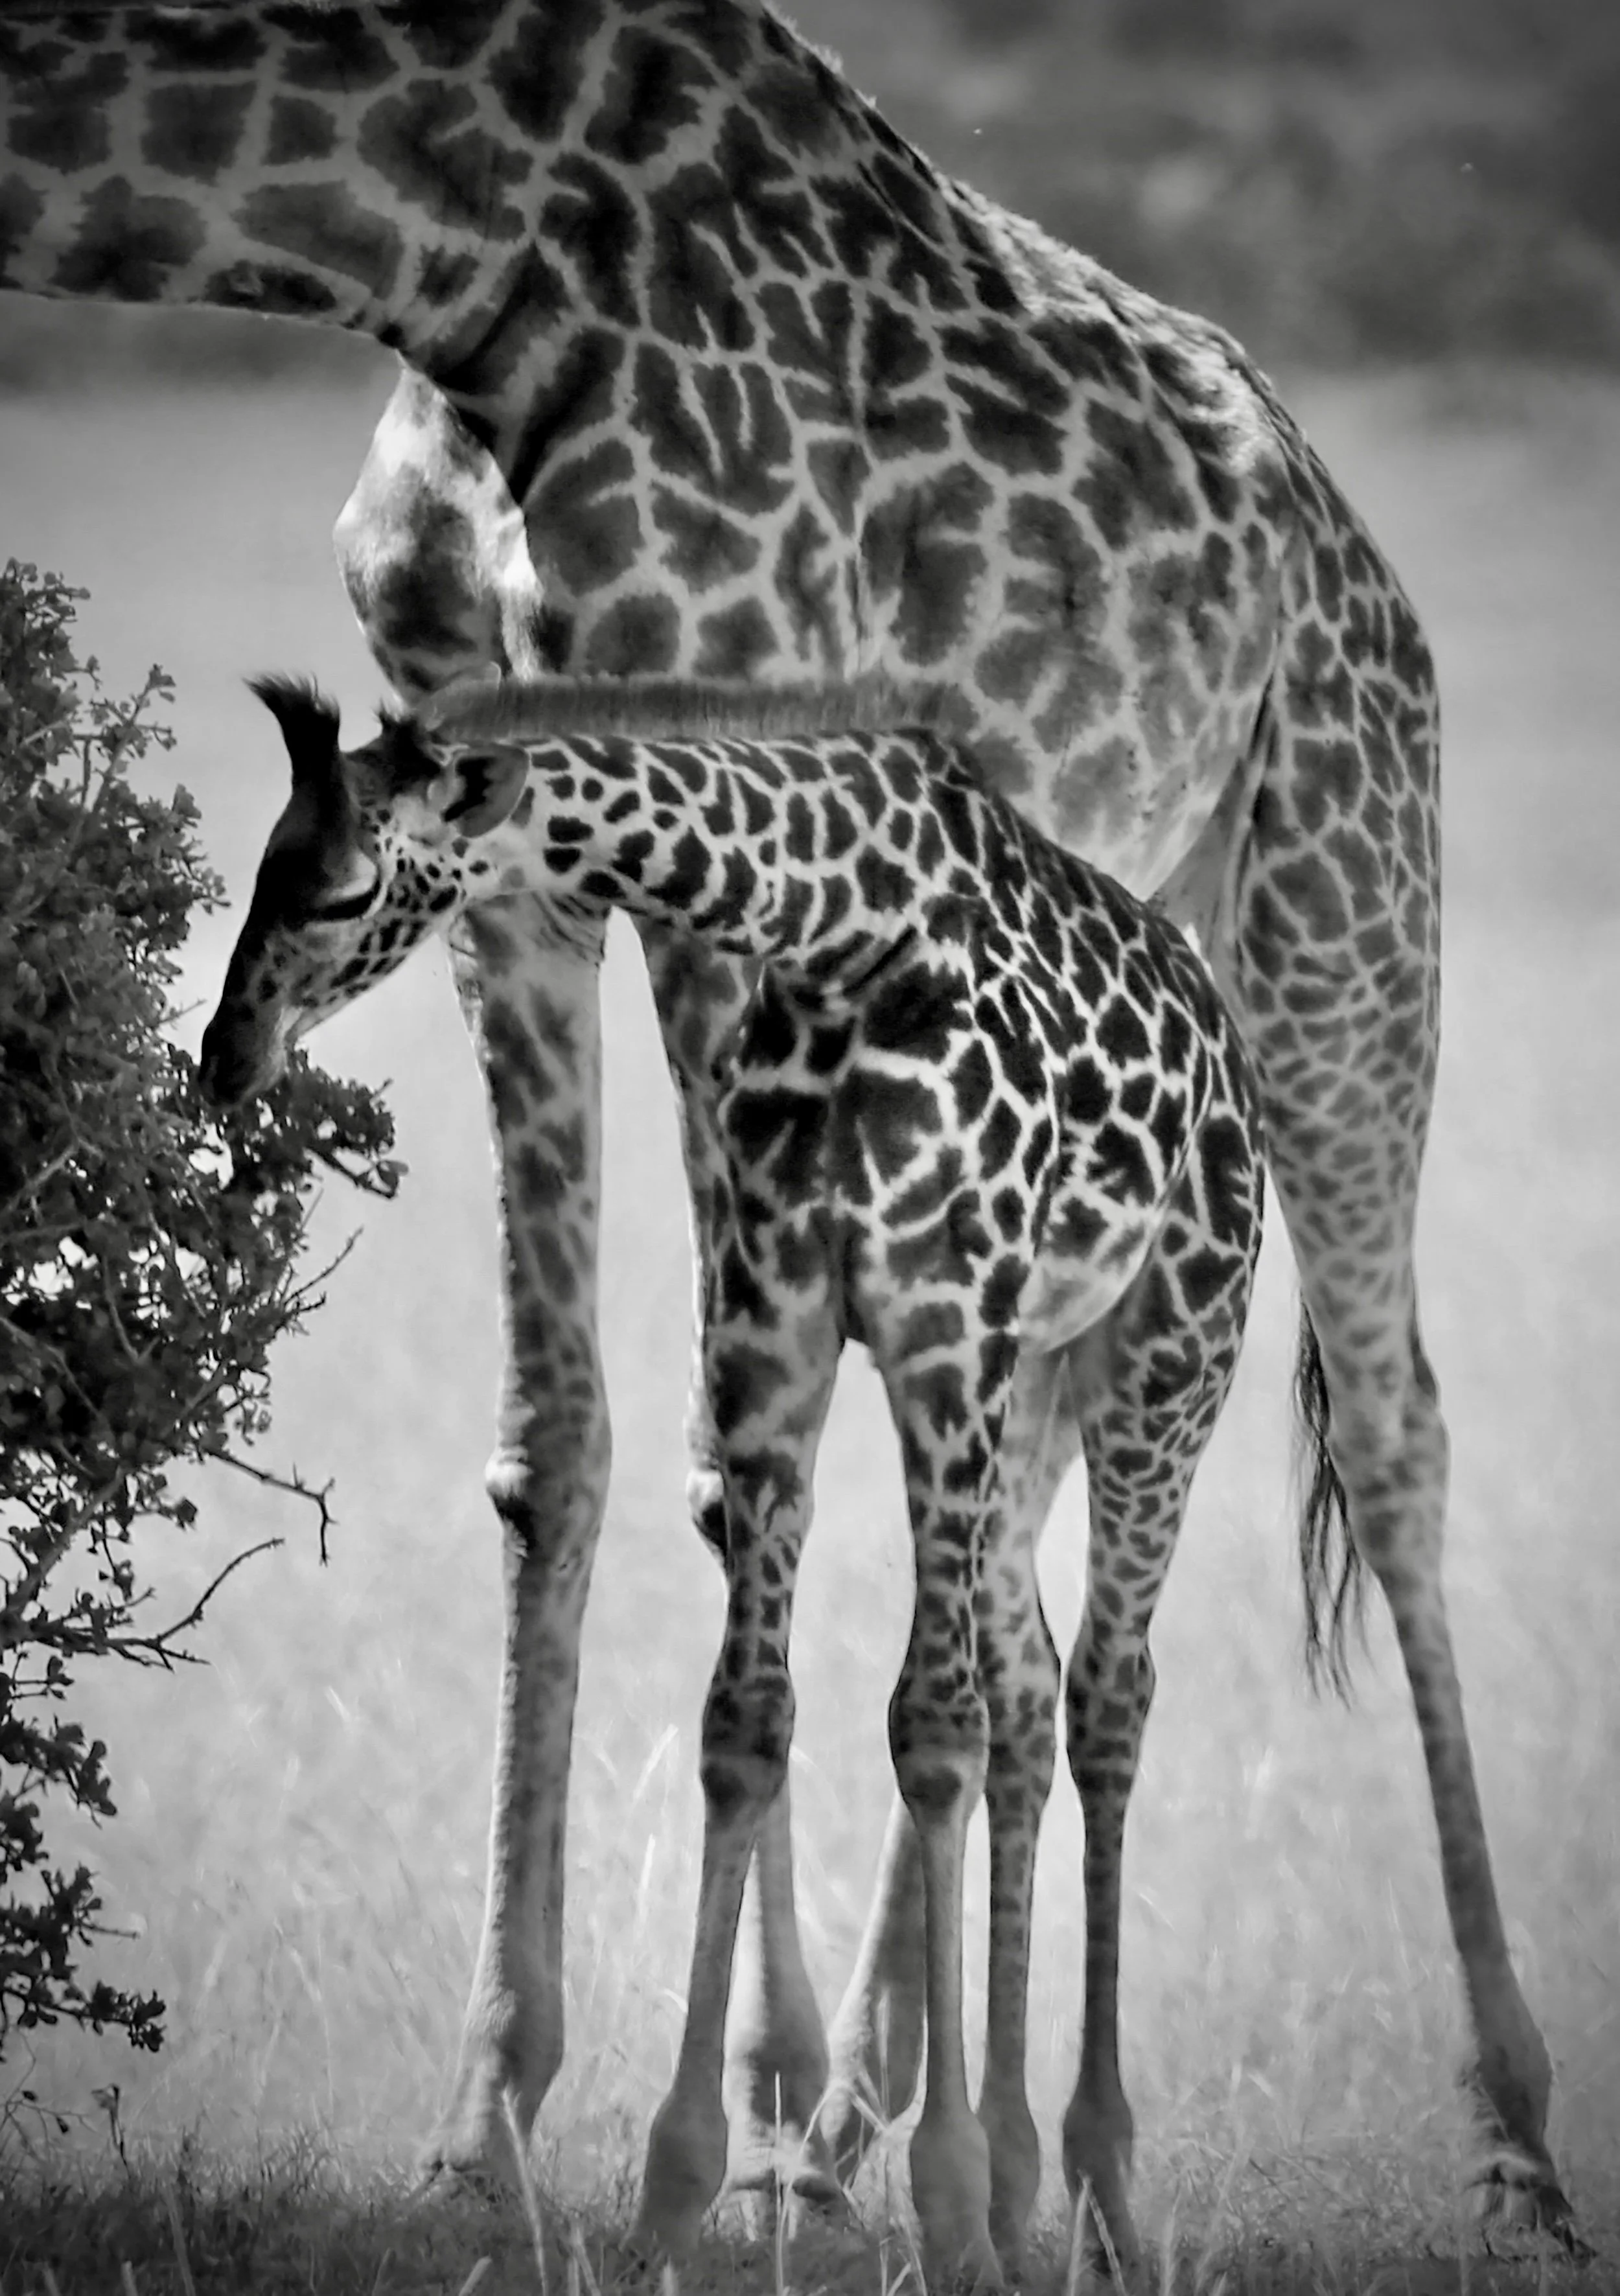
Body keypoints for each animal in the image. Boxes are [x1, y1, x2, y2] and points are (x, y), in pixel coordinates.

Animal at [199, 667, 1266, 2284]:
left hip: (1165, 1353)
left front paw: (939, 2199)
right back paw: (1025, 2178)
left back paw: (1097, 2185)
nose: (222, 1057)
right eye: (260, 863)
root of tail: (1224, 1052)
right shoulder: (781, 1320)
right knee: (1029, 1698)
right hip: (1030, 1386)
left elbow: (927, 1728)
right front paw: (675, 2188)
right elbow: (746, 1725)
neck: (839, 929)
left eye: (337, 886)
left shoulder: (935, 1316)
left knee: (1106, 1695)